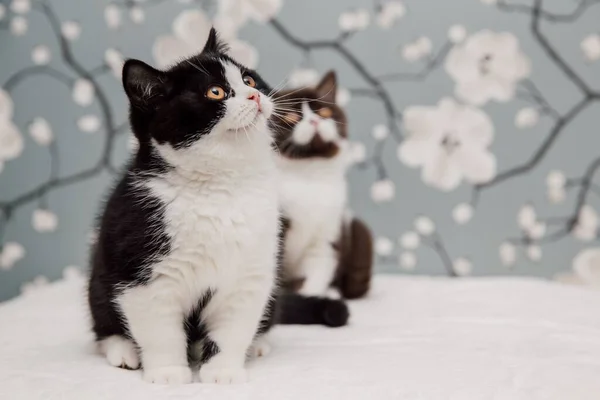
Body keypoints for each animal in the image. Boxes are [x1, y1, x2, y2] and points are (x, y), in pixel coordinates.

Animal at [88, 29, 280, 386]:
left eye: (249, 79)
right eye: (215, 92)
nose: (254, 96)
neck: (219, 187)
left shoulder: (250, 270)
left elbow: (233, 325)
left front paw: (223, 372)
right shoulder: (142, 267)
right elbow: (160, 329)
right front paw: (168, 373)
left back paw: (258, 344)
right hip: (100, 275)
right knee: (104, 318)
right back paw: (122, 350)